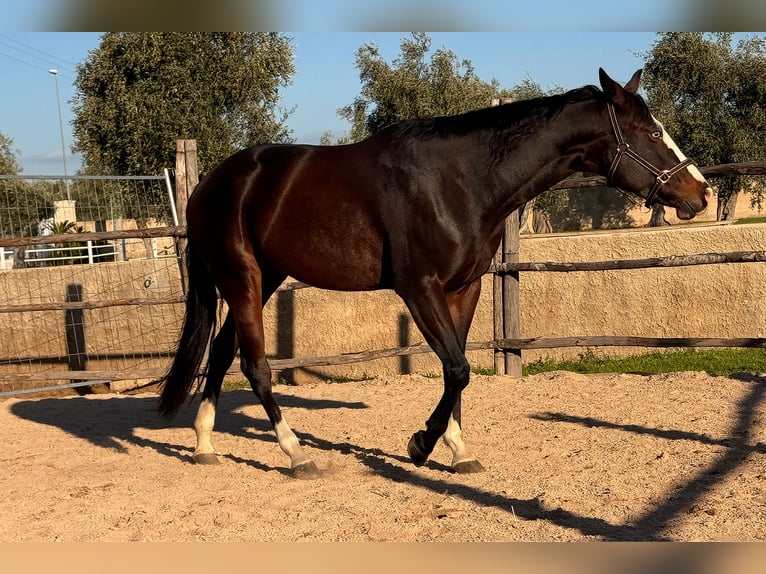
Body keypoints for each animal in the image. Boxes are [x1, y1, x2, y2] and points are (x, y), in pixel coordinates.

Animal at [158, 68, 712, 478]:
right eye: (653, 133)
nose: (701, 193)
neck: (460, 180)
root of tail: (210, 183)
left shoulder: (463, 288)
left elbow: (457, 369)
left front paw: (458, 451)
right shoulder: (419, 289)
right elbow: (458, 368)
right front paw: (421, 444)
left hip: (263, 279)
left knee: (221, 350)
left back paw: (204, 444)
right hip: (243, 278)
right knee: (254, 365)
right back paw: (295, 454)